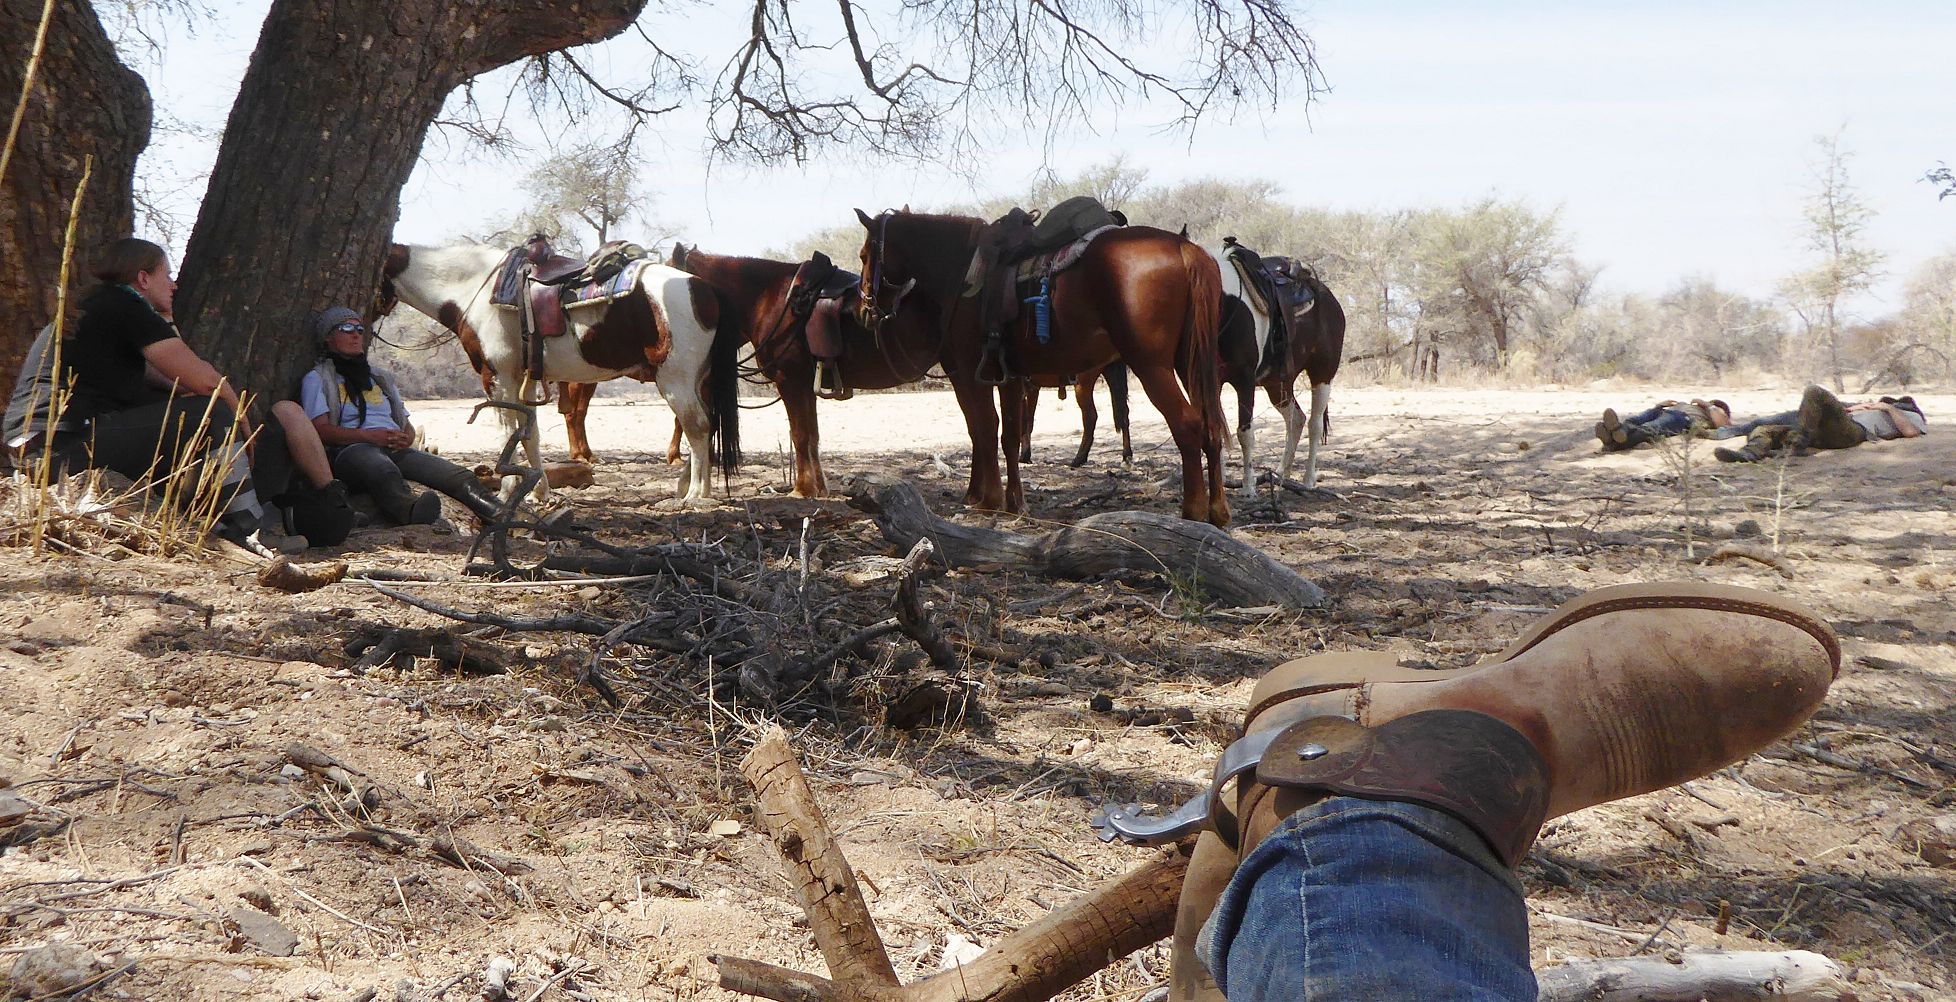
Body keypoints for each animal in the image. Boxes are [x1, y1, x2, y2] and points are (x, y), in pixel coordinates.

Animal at [379, 239, 739, 504]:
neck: (475, 289)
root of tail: (705, 290)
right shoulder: (523, 381)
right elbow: (530, 434)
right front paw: (538, 492)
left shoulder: (498, 379)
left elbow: (509, 434)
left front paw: (508, 492)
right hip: (698, 381)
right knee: (708, 425)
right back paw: (696, 489)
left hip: (676, 381)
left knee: (697, 426)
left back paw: (695, 494)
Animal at [665, 244, 946, 499]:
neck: (769, 299)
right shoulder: (805, 384)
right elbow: (812, 436)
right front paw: (819, 488)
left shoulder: (790, 381)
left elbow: (800, 435)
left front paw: (801, 489)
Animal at [852, 208, 1220, 528]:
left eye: (864, 255)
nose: (863, 310)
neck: (962, 271)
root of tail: (1184, 248)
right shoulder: (1009, 377)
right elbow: (1010, 435)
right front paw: (1014, 502)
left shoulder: (971, 374)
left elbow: (985, 428)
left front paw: (989, 500)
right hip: (1190, 363)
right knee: (1211, 425)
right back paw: (1218, 511)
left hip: (1150, 365)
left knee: (1187, 425)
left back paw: (1193, 512)